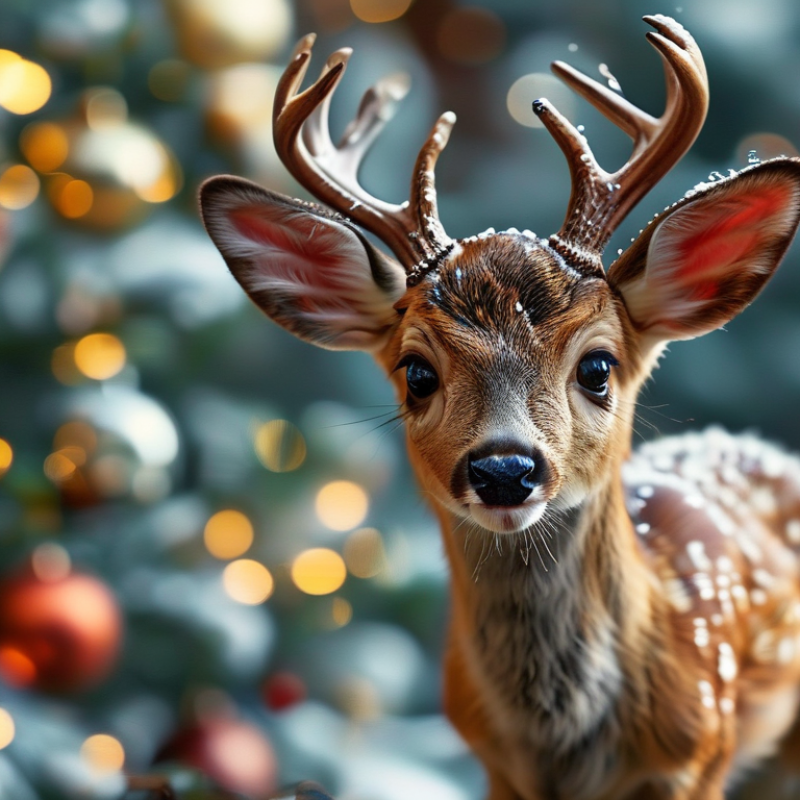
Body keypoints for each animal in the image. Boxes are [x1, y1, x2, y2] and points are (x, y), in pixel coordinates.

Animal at [199, 14, 800, 800]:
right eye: (417, 372)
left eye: (598, 366)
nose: (505, 469)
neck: (562, 750)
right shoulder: (492, 765)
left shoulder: (698, 754)